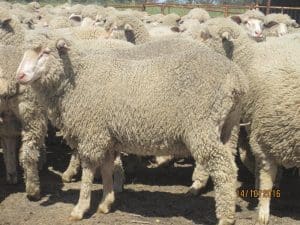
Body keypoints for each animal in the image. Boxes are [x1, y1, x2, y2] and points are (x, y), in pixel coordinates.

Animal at [16, 32, 247, 225]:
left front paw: (80, 208)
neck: (77, 77)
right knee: (230, 164)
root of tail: (236, 78)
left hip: (202, 127)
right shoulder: (107, 136)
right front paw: (106, 203)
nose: (20, 76)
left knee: (223, 168)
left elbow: (89, 170)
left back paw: (225, 218)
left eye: (46, 52)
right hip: (226, 127)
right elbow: (107, 168)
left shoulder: (92, 133)